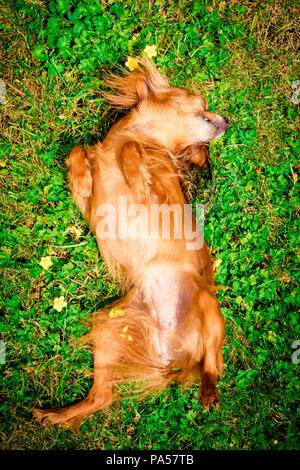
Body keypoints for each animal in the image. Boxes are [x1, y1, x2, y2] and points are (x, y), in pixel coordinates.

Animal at [32, 57, 229, 426]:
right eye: (204, 102)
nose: (227, 120)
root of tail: (171, 356)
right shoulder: (89, 205)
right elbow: (78, 149)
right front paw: (81, 178)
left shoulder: (163, 191)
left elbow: (130, 150)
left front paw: (137, 177)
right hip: (110, 330)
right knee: (101, 397)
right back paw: (55, 415)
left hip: (209, 307)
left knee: (213, 363)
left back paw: (209, 391)